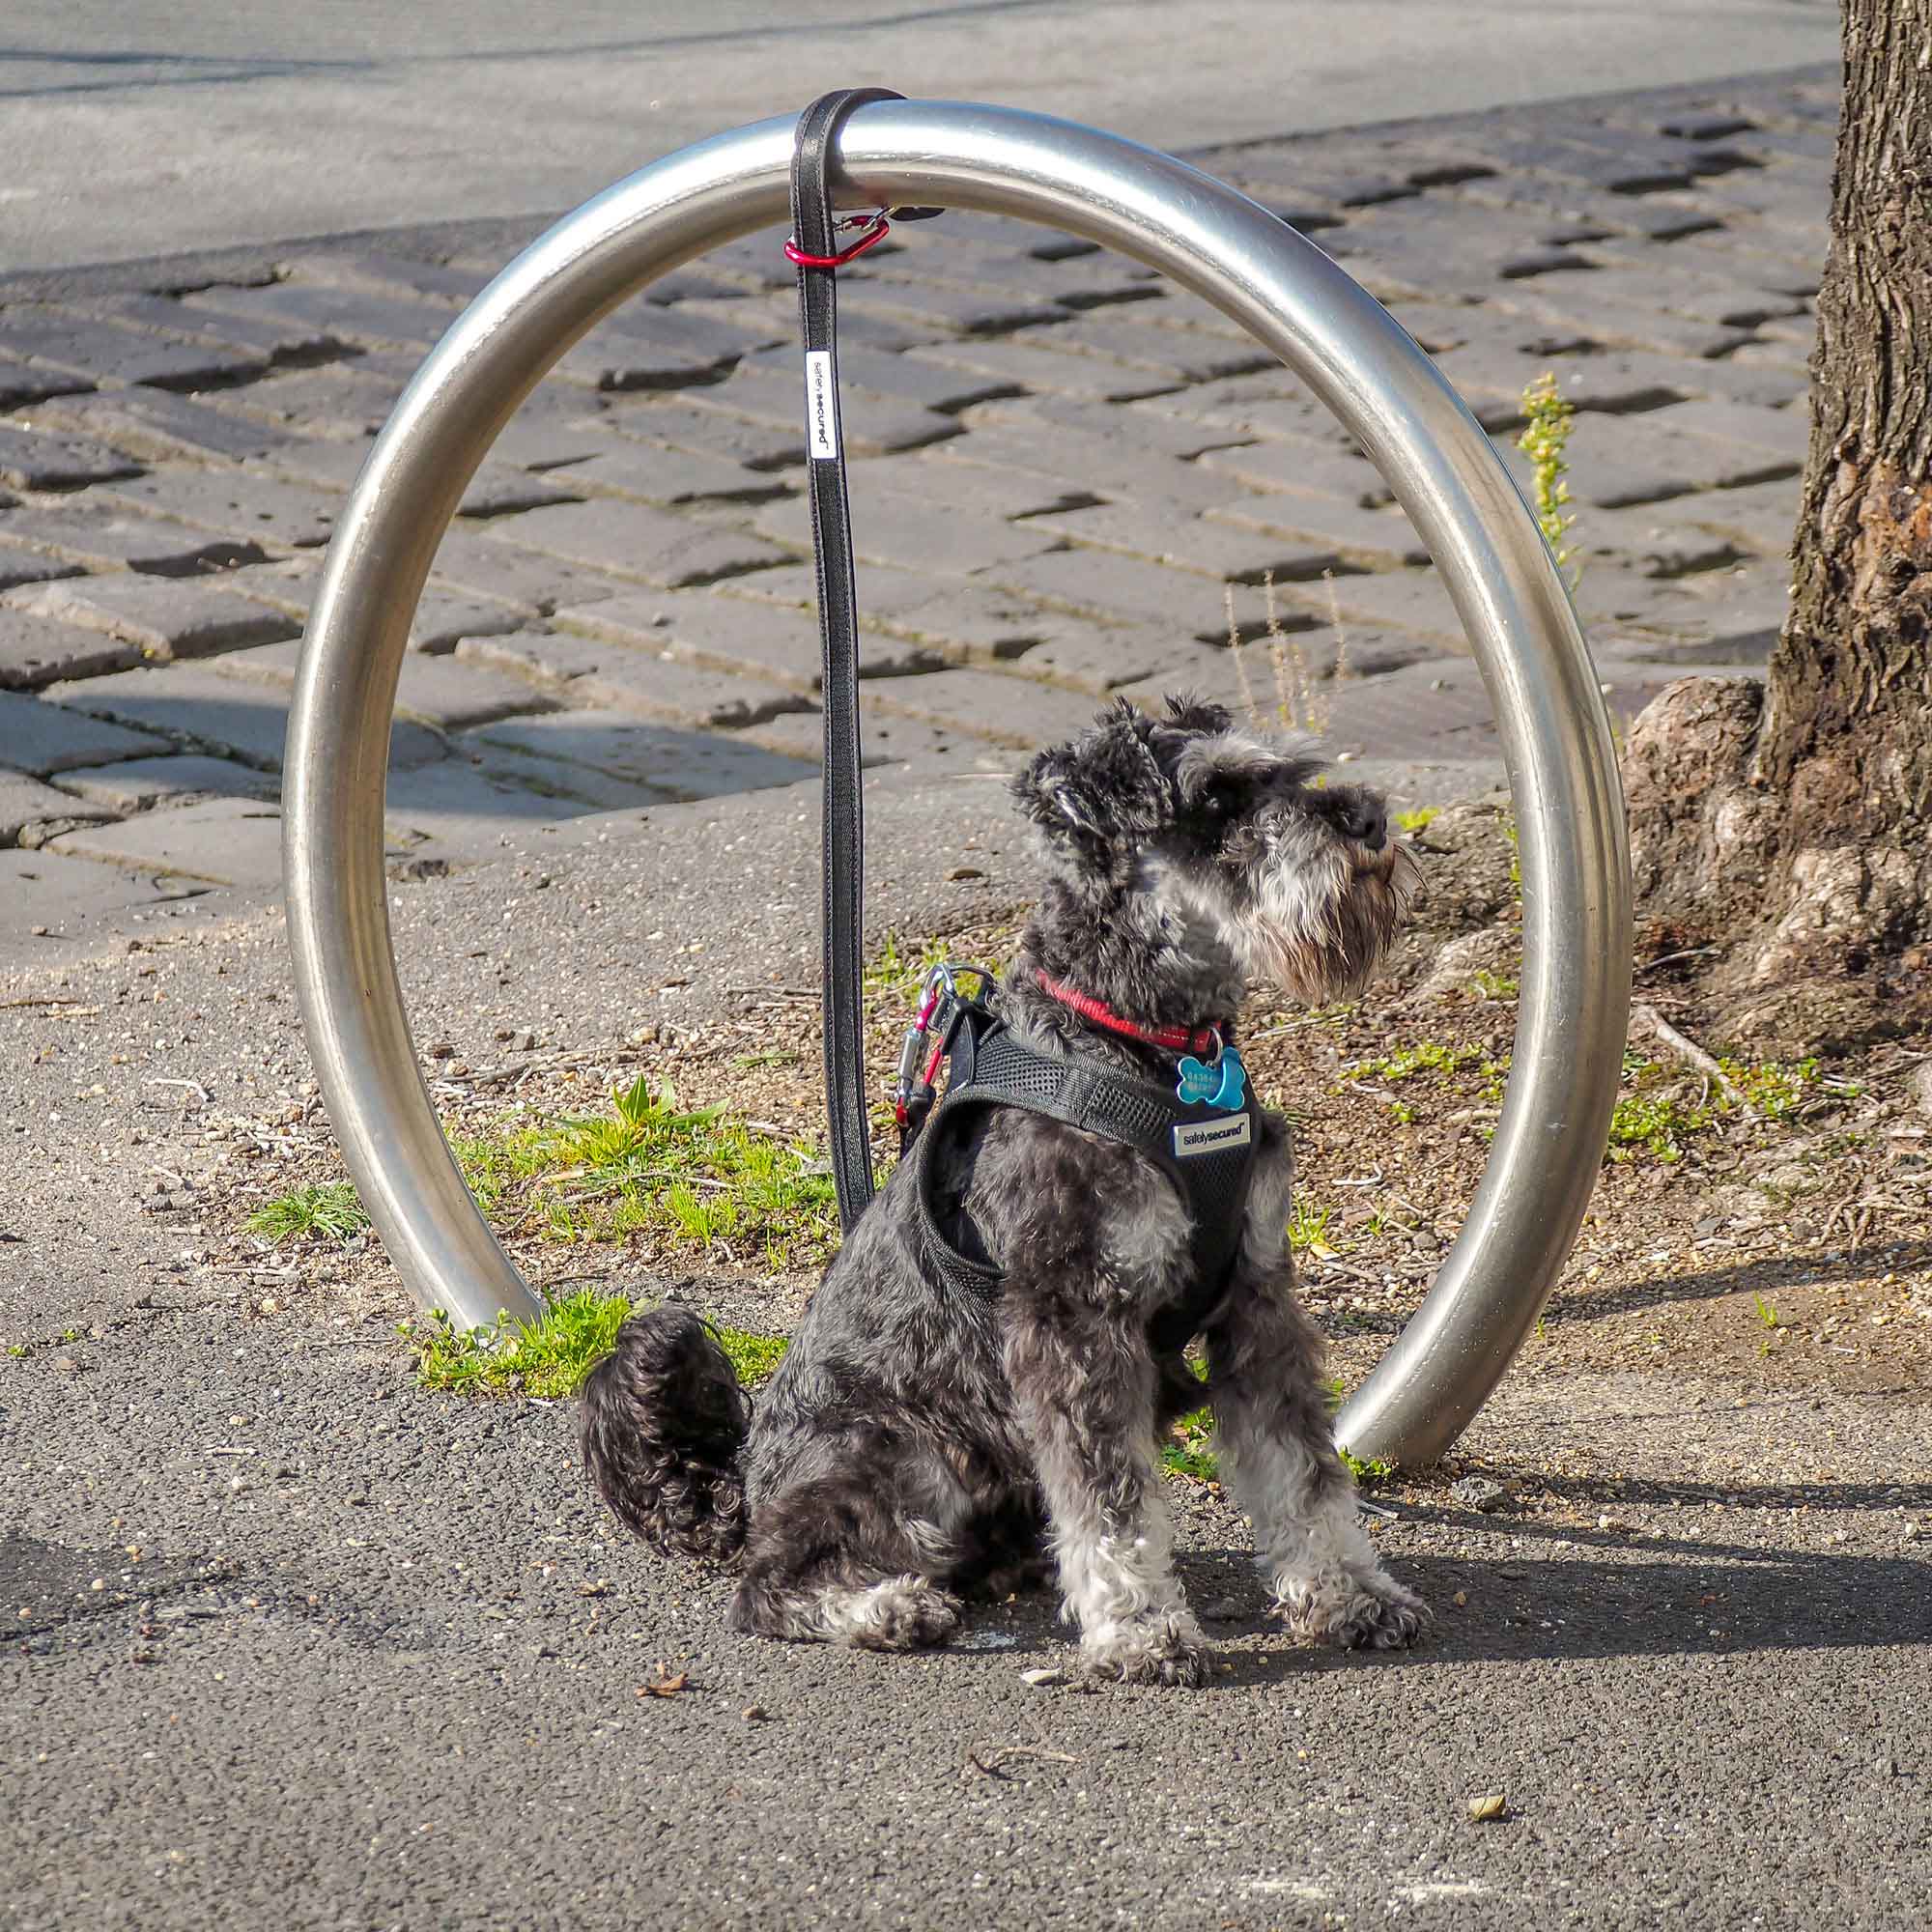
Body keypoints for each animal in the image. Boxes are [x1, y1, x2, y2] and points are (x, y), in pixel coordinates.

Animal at [580, 699, 1430, 1692]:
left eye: (1289, 774)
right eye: (1217, 799)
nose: (1368, 819)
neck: (1148, 1045)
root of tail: (747, 1482)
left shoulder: (1258, 1304)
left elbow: (1304, 1473)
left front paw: (1350, 1594)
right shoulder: (1075, 1323)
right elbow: (1112, 1504)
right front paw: (1141, 1632)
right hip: (898, 1451)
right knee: (771, 1583)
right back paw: (887, 1606)